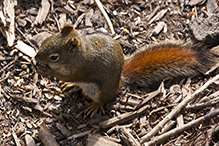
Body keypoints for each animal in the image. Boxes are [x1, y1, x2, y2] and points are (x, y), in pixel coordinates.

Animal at [34, 24, 219, 117]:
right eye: (46, 40)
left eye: (54, 57)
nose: (36, 58)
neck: (80, 54)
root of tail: (120, 83)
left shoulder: (81, 69)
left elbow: (67, 75)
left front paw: (45, 71)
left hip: (99, 91)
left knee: (102, 99)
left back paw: (95, 106)